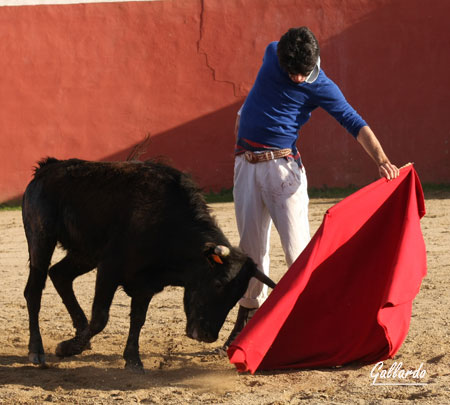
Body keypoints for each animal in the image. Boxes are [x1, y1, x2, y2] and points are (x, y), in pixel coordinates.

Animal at [22, 157, 276, 370]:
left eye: (237, 296)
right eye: (218, 283)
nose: (208, 336)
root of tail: (47, 167)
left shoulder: (146, 282)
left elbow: (138, 319)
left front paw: (133, 359)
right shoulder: (109, 268)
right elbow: (100, 318)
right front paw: (67, 348)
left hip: (84, 254)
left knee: (60, 275)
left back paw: (79, 334)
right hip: (41, 239)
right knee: (34, 290)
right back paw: (37, 351)